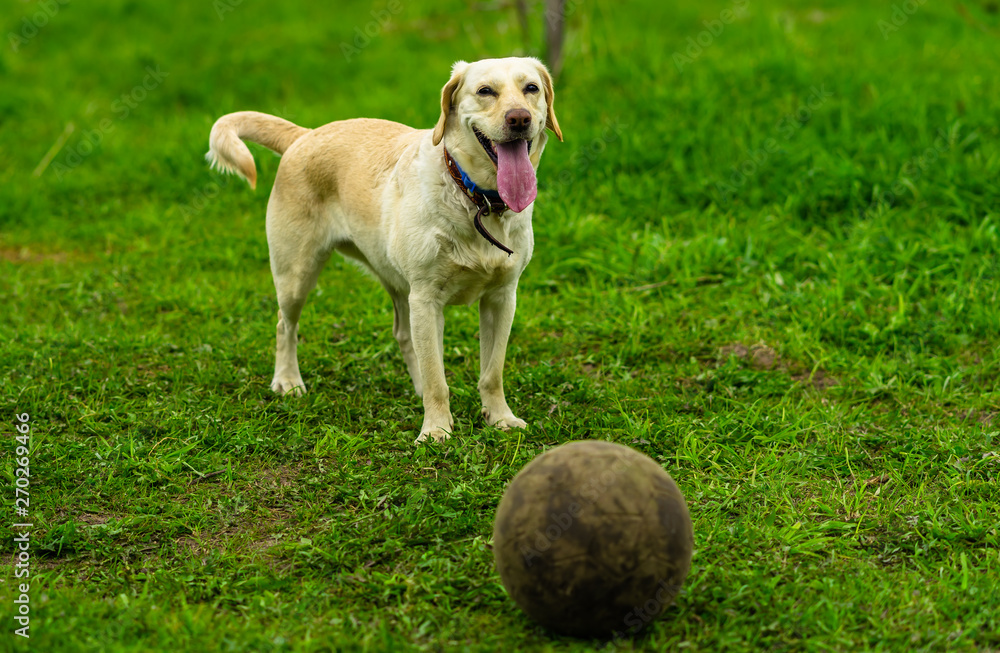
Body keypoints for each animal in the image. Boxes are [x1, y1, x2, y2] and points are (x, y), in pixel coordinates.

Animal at [203, 57, 564, 444]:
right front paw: (436, 430)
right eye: (485, 91)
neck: (475, 198)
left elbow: (491, 373)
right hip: (296, 276)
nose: (519, 118)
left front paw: (499, 418)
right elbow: (437, 379)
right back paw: (287, 380)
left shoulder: (502, 297)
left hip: (398, 285)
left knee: (406, 337)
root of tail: (304, 135)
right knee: (285, 325)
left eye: (531, 89)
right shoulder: (426, 298)